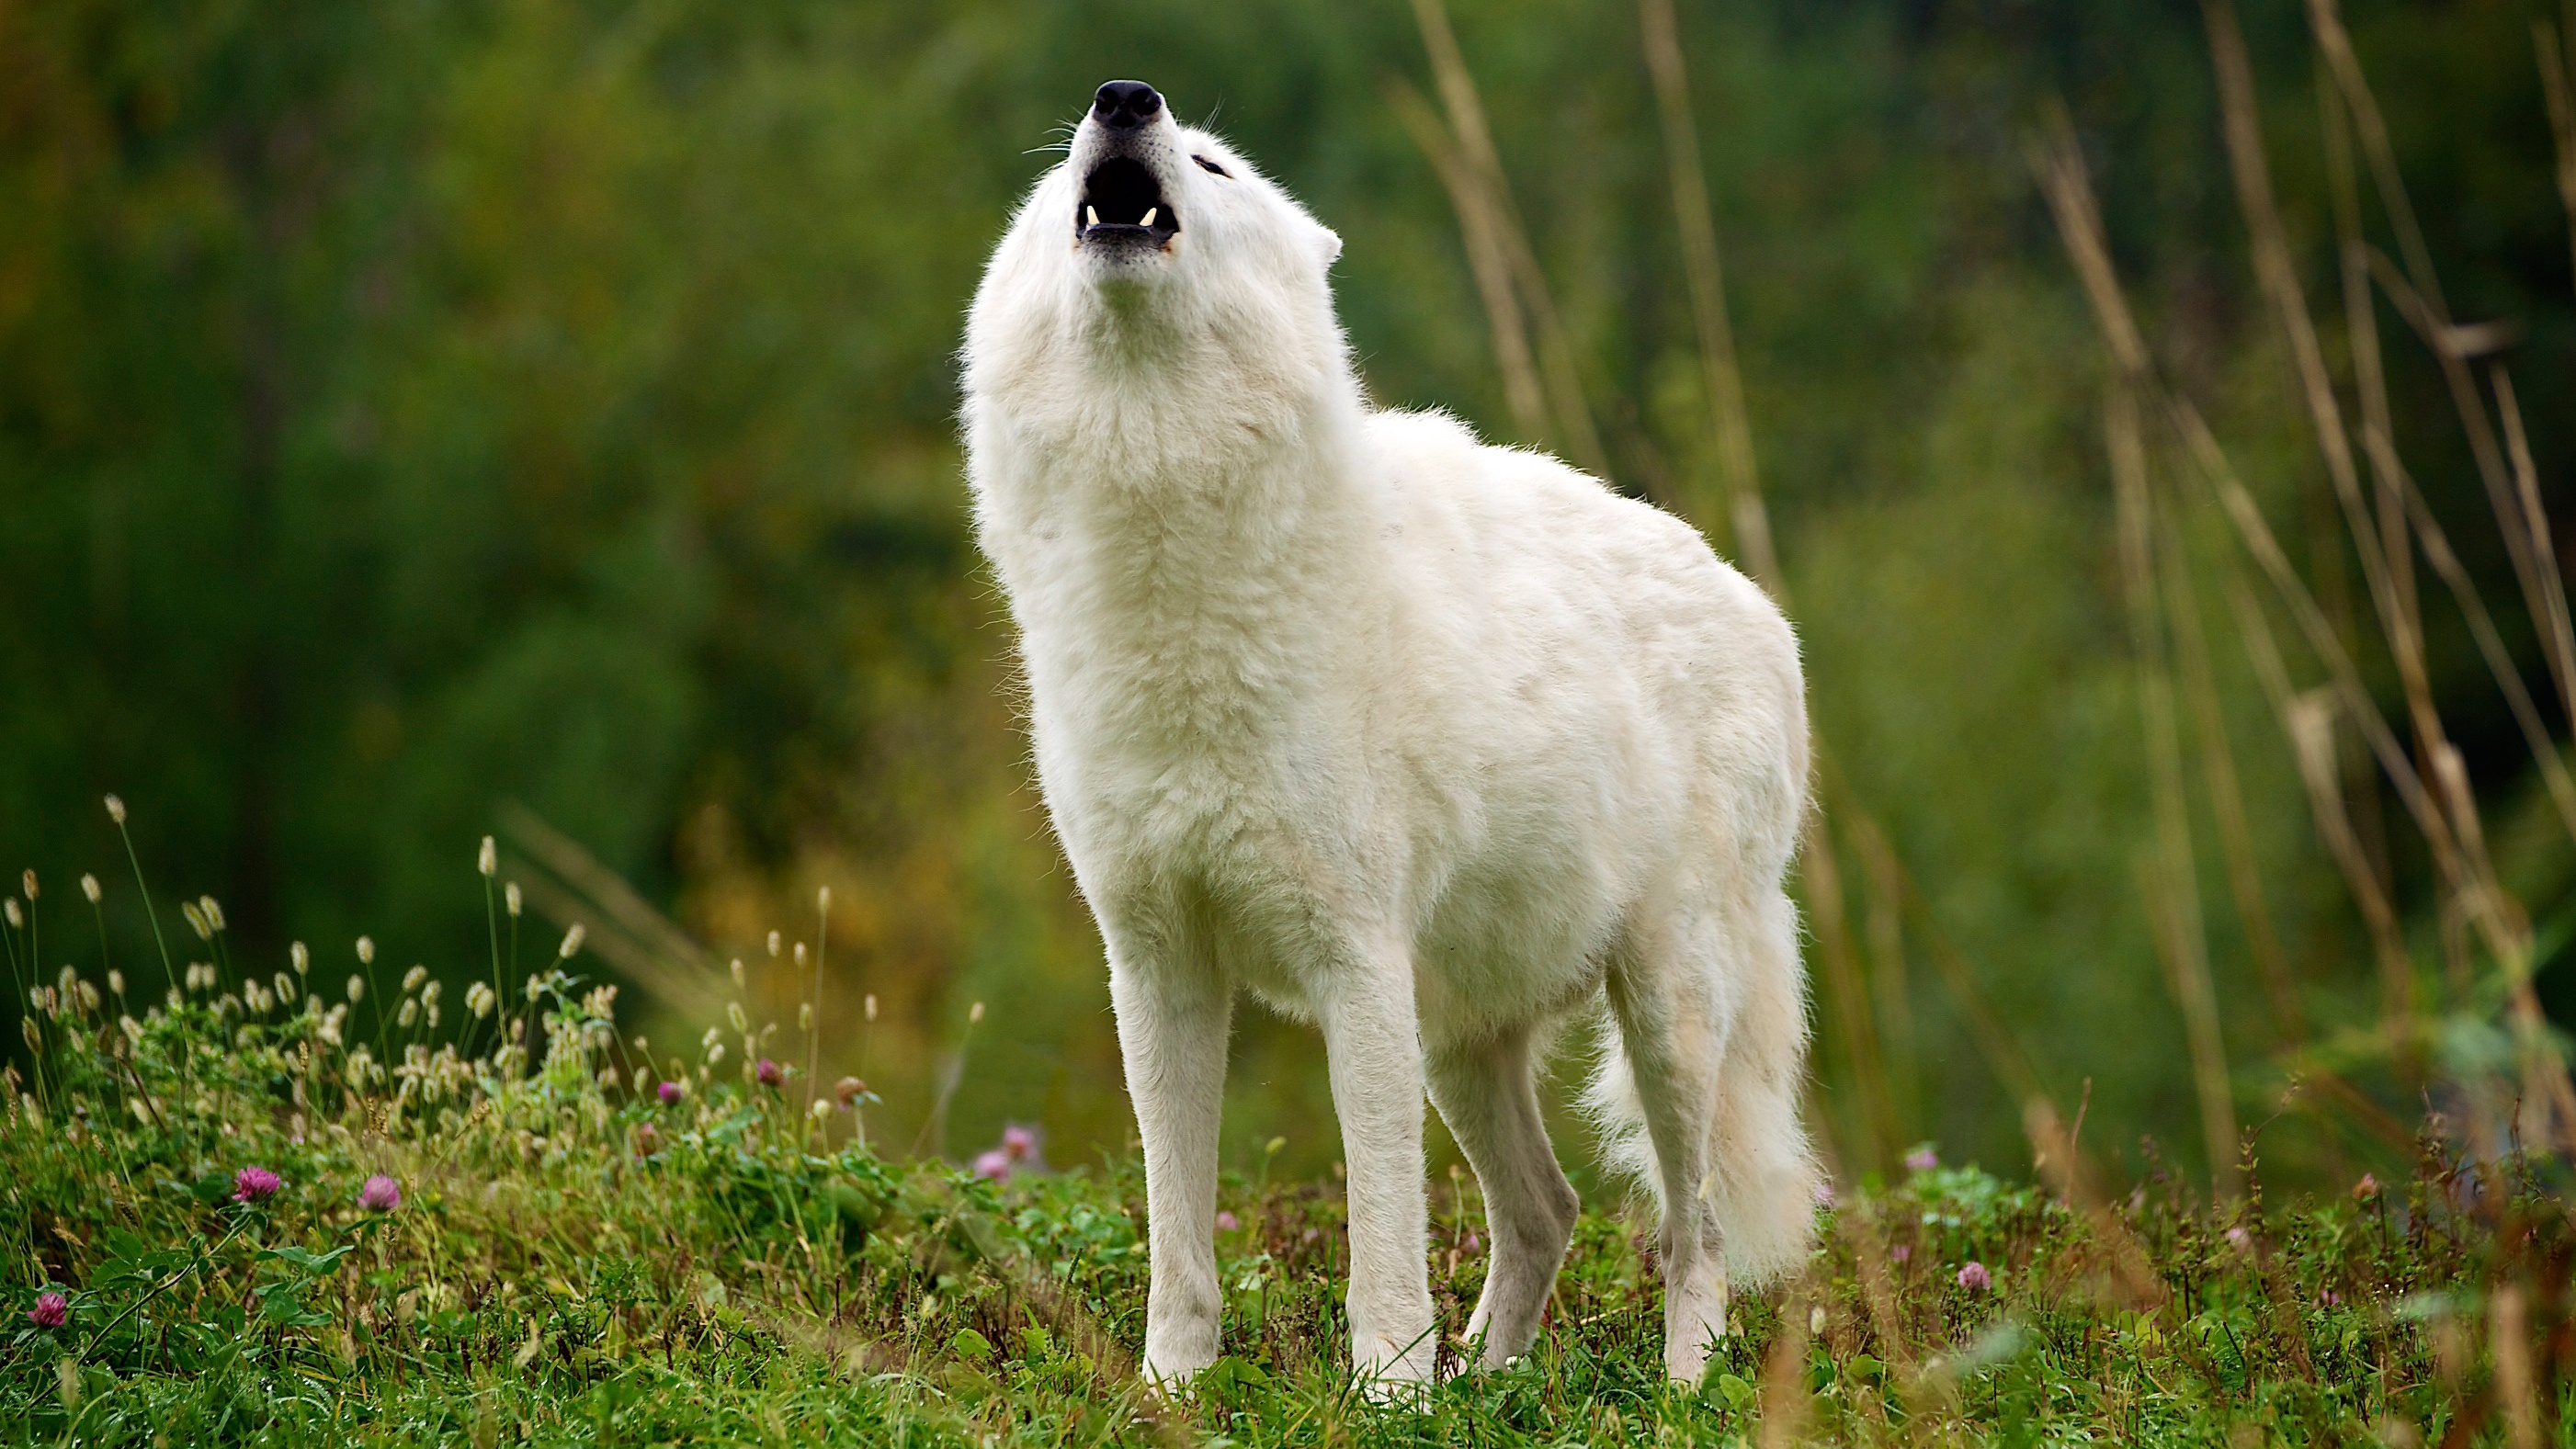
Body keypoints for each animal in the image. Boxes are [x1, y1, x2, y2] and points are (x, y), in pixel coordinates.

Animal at [958, 82, 1823, 1389]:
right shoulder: (1157, 968)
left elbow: (1378, 1228)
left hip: (1663, 1017)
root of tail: (1757, 605)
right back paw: (1494, 1384)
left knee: (1693, 1224)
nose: (1122, 98)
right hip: (1461, 1041)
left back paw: (1677, 1387)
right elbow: (1177, 1232)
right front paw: (1172, 1388)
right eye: (1067, 165)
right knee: (1550, 1209)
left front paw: (1386, 1393)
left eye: (1211, 162)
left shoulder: (1353, 961)